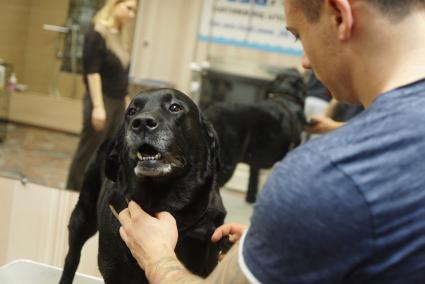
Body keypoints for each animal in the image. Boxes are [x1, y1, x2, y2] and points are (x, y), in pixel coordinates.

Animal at [60, 89, 227, 284]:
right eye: (131, 111)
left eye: (175, 107)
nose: (142, 123)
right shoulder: (115, 271)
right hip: (82, 217)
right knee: (72, 256)